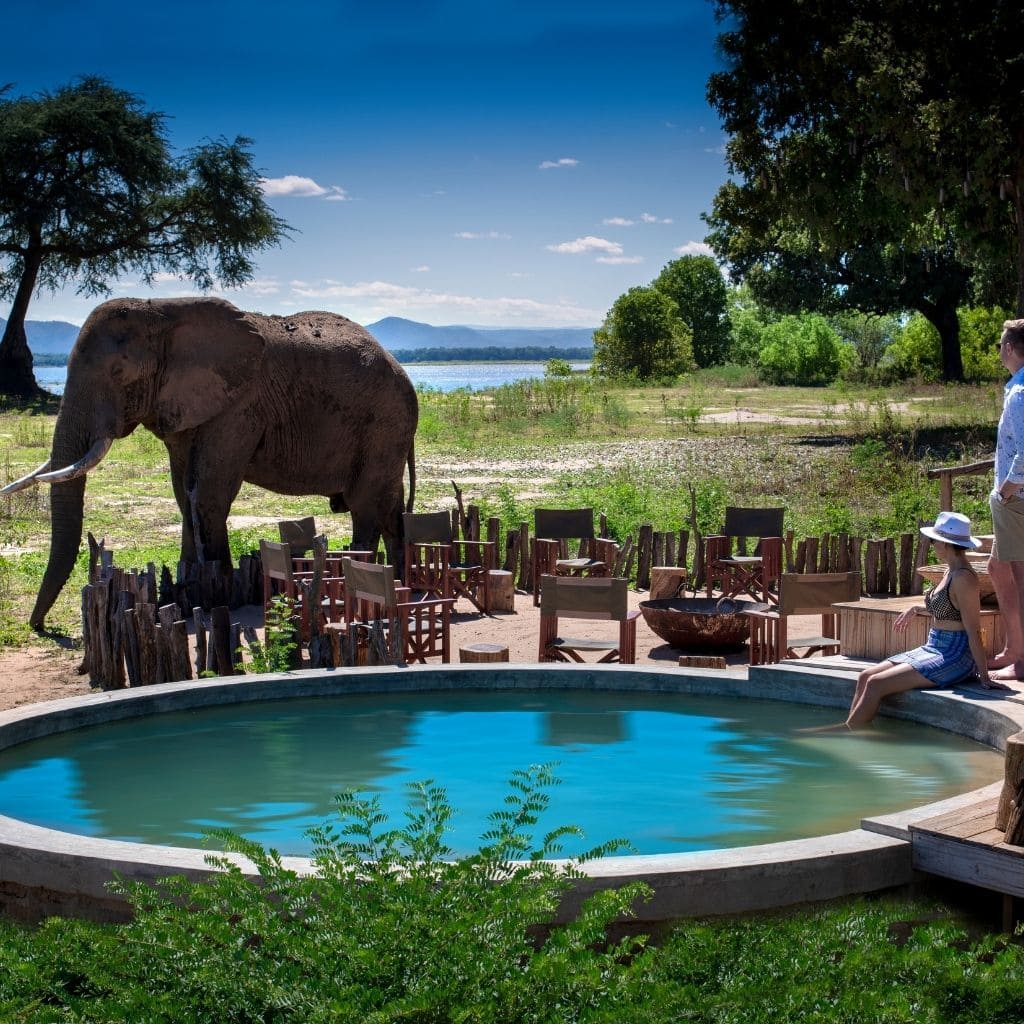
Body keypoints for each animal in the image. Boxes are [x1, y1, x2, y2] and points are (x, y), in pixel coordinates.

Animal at [3, 297, 418, 629]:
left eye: (118, 373)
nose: (40, 627)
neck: (164, 311)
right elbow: (183, 495)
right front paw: (184, 595)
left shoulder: (240, 406)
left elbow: (207, 494)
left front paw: (216, 596)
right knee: (389, 507)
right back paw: (401, 581)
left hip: (385, 422)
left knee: (365, 505)